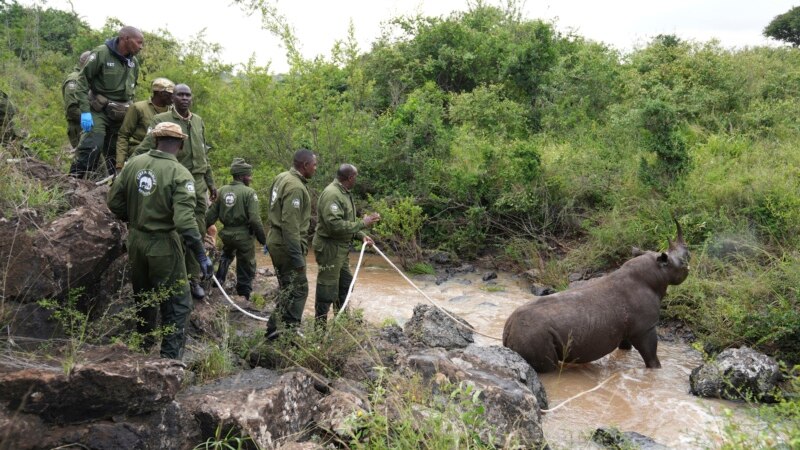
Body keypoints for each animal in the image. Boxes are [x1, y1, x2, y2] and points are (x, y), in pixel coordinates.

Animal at [503, 221, 690, 373]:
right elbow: (652, 358)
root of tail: (508, 330)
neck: (658, 271)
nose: (689, 267)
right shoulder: (646, 328)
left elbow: (625, 348)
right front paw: (657, 371)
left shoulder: (628, 328)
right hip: (533, 335)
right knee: (549, 368)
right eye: (682, 262)